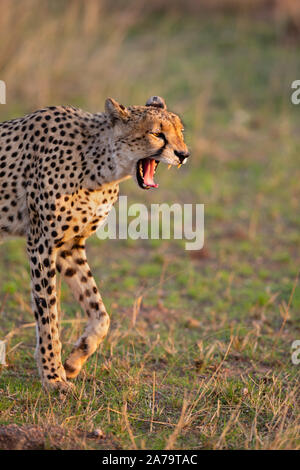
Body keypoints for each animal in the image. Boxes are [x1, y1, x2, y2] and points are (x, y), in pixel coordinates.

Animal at [0, 94, 190, 390]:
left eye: (180, 131)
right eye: (157, 134)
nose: (183, 155)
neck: (99, 165)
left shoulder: (69, 245)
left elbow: (100, 313)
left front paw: (74, 361)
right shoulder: (41, 243)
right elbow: (48, 313)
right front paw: (53, 377)